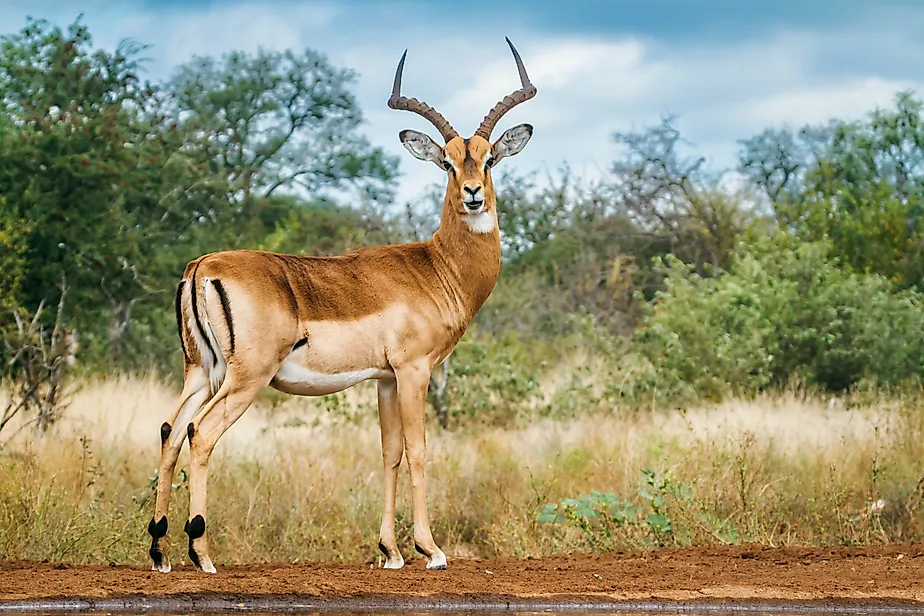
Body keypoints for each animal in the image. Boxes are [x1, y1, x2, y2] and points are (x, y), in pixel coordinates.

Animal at [147, 37, 536, 574]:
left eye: (489, 159)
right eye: (447, 163)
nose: (473, 194)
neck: (436, 267)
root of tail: (202, 265)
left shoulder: (386, 379)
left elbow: (390, 453)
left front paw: (391, 552)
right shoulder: (415, 371)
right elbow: (418, 450)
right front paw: (431, 550)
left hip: (200, 371)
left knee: (170, 429)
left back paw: (159, 552)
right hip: (245, 379)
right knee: (200, 433)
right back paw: (201, 554)